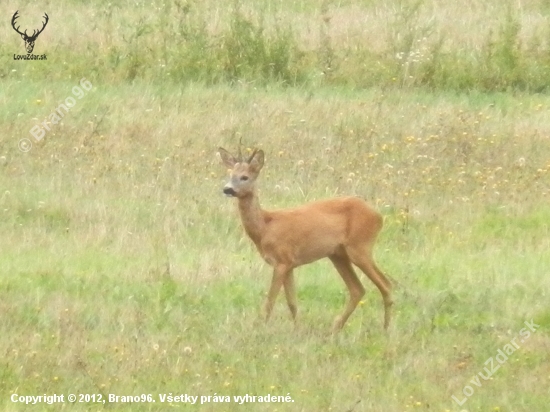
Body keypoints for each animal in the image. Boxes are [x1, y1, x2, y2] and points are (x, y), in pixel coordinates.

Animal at [218, 146, 394, 332]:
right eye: (230, 174)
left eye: (244, 177)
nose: (227, 189)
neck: (265, 227)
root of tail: (379, 216)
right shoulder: (289, 264)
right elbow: (292, 302)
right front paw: (297, 330)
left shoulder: (282, 260)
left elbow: (270, 301)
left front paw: (257, 328)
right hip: (338, 254)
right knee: (357, 289)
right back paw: (335, 328)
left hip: (360, 247)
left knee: (386, 284)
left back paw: (385, 329)